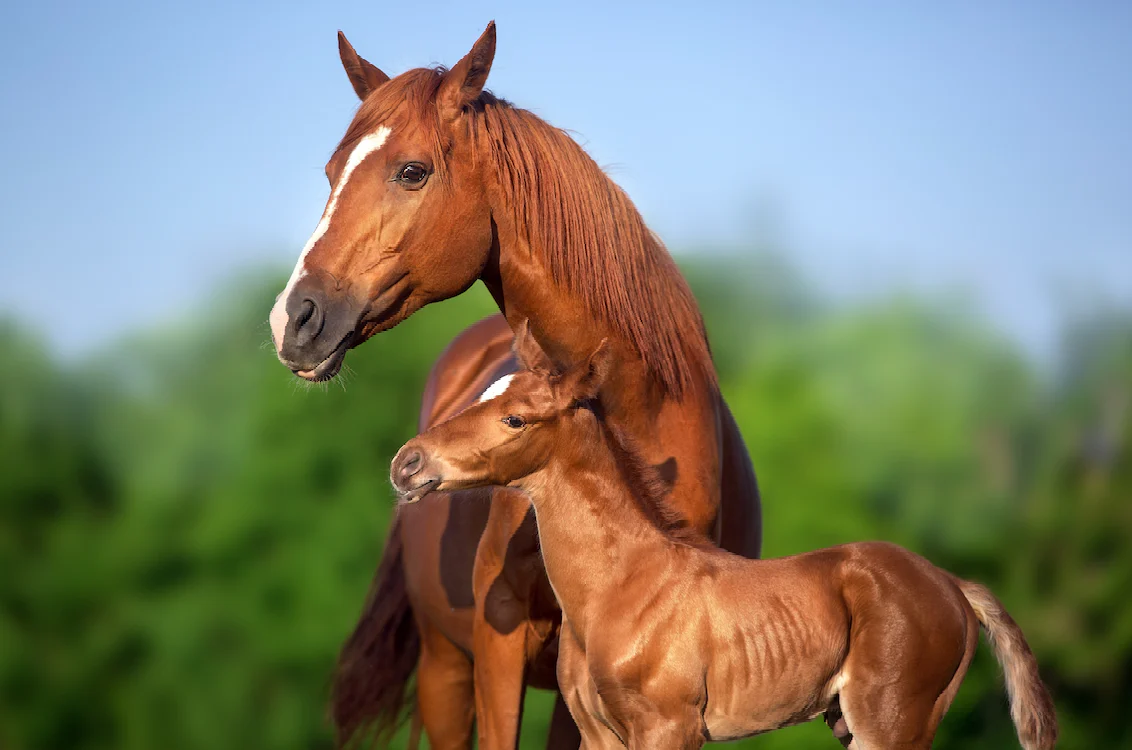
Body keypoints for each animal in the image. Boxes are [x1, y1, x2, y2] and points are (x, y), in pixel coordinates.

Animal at [267, 22, 764, 748]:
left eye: (412, 171)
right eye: (332, 174)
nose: (293, 320)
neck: (637, 416)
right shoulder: (498, 641)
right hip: (445, 668)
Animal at [390, 325, 1059, 750]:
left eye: (515, 419)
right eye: (483, 394)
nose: (407, 464)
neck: (620, 588)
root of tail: (951, 583)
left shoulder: (670, 730)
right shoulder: (599, 734)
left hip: (891, 726)